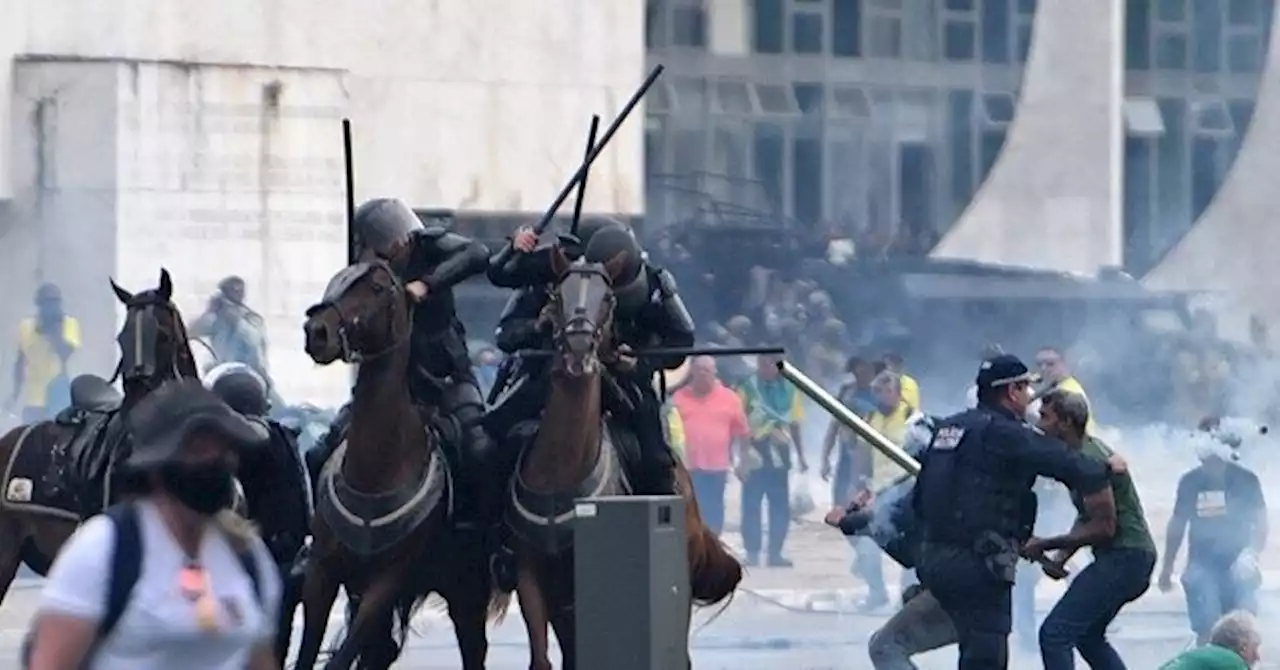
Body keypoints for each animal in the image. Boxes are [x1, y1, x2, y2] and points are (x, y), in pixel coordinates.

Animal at [296, 261, 506, 670]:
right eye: (338, 280)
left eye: (377, 288)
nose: (317, 332)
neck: (377, 468)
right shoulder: (323, 573)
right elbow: (310, 652)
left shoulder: (387, 581)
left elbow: (341, 657)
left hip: (464, 588)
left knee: (472, 648)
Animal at [501, 247, 737, 670]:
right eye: (557, 295)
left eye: (607, 299)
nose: (579, 350)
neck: (561, 471)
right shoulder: (532, 574)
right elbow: (541, 658)